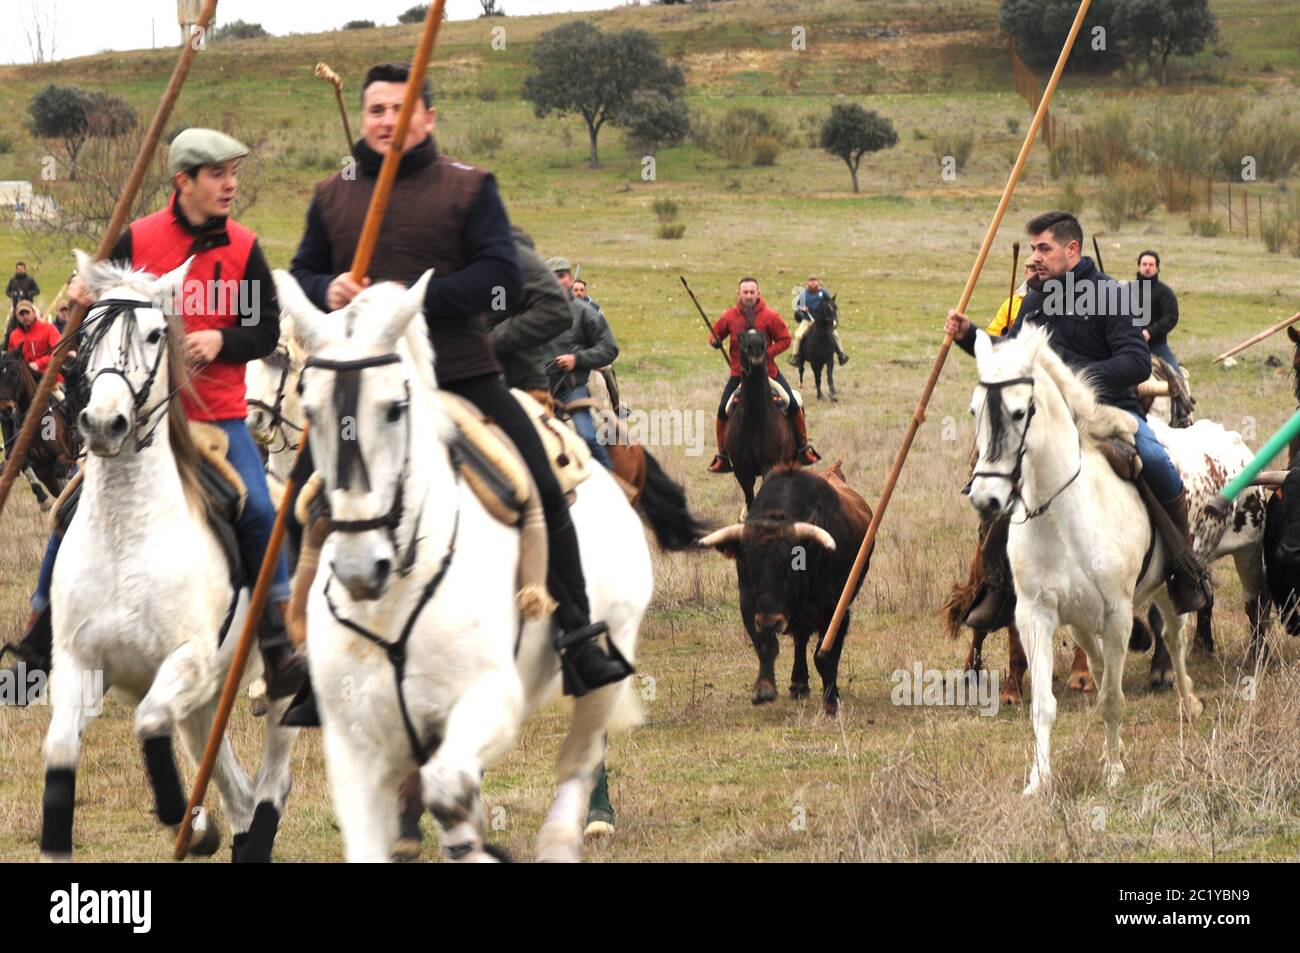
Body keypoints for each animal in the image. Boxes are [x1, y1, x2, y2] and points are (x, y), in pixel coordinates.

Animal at [39, 252, 297, 863]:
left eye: (156, 333)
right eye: (88, 331)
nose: (103, 424)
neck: (126, 535)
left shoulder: (187, 663)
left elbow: (148, 721)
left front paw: (186, 819)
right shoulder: (81, 664)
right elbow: (60, 750)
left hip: (277, 686)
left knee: (272, 780)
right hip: (208, 704)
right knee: (239, 793)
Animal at [270, 269, 650, 863]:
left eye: (394, 408)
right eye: (311, 408)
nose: (360, 567)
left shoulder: (491, 699)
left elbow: (450, 789)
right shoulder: (355, 741)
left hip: (609, 658)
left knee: (582, 755)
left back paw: (585, 824)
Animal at [722, 327, 800, 509]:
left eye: (764, 344)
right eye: (742, 343)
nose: (756, 364)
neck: (754, 421)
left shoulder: (770, 466)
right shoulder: (742, 472)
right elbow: (751, 500)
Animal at [967, 327, 1206, 795]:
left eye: (1020, 412)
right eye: (974, 411)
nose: (987, 500)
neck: (1062, 515)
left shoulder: (1118, 613)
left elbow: (1112, 698)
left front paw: (1113, 771)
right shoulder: (1036, 615)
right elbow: (1044, 704)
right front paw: (1039, 781)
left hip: (1165, 594)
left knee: (1174, 639)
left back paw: (1188, 701)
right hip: (1079, 621)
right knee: (1097, 665)